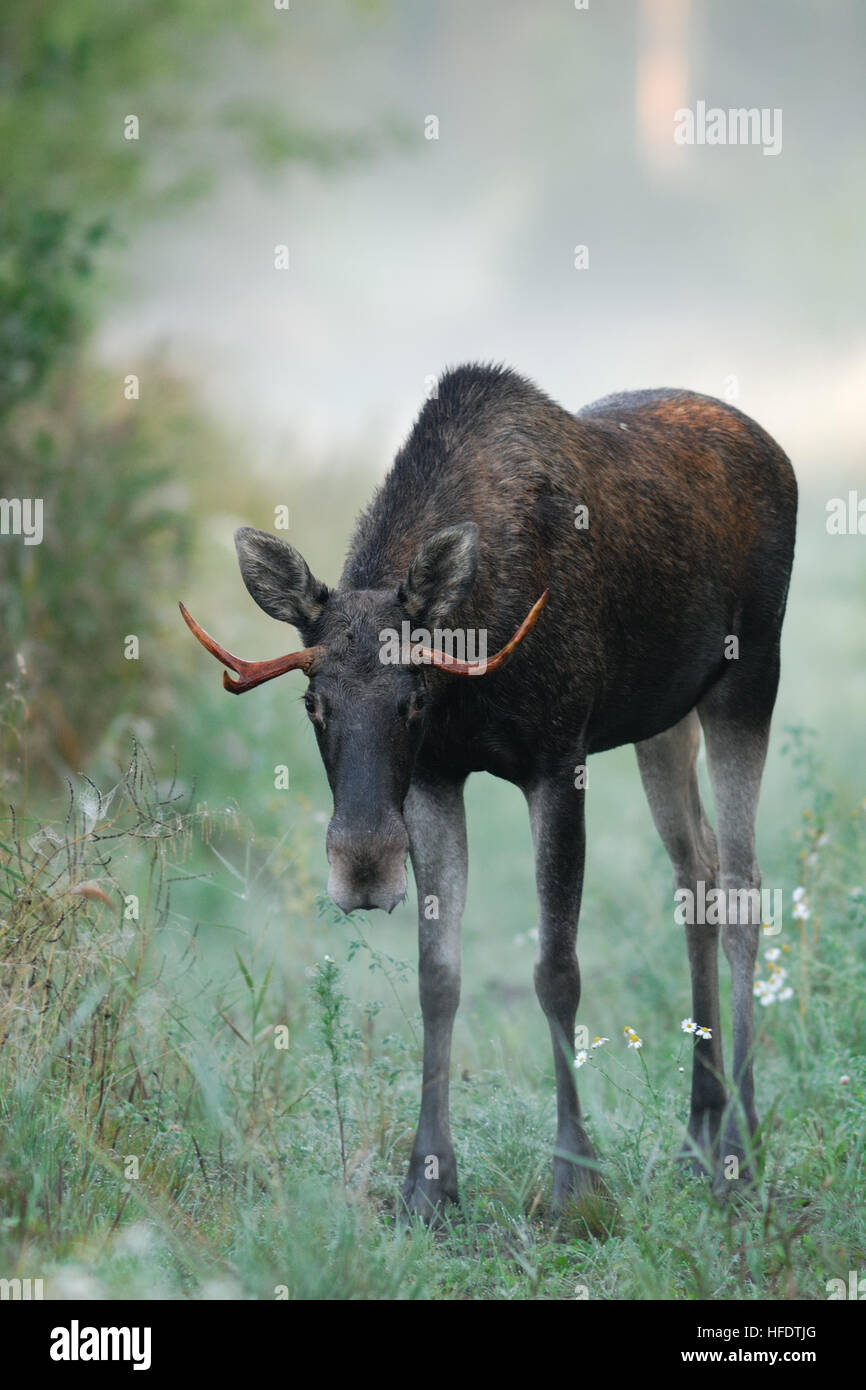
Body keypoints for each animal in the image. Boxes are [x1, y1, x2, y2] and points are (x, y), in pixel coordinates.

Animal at [180, 363, 797, 1220]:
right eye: (313, 704)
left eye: (412, 700)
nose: (362, 867)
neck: (473, 636)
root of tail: (775, 449)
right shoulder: (435, 778)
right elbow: (437, 975)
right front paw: (428, 1181)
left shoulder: (558, 760)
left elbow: (557, 971)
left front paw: (576, 1181)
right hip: (664, 719)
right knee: (697, 874)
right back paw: (697, 1135)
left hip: (749, 677)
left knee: (743, 885)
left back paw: (740, 1147)